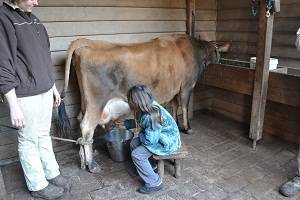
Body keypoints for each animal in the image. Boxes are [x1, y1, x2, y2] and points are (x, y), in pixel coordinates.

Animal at [58, 34, 229, 172]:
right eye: (218, 52)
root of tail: (86, 43)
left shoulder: (175, 88)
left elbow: (174, 107)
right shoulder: (186, 85)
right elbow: (184, 106)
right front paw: (187, 127)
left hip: (85, 103)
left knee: (80, 122)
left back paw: (83, 161)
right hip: (96, 103)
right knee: (87, 127)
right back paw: (91, 165)